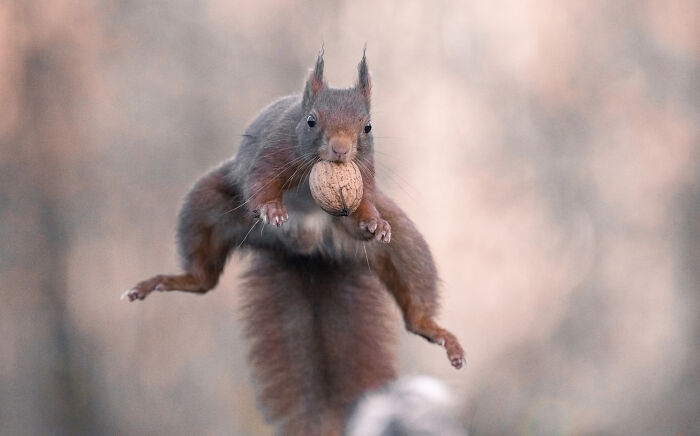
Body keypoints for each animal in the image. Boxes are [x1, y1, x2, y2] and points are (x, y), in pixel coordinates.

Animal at [123, 48, 465, 436]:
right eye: (311, 122)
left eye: (368, 127)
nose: (340, 150)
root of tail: (307, 251)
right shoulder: (272, 152)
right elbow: (260, 185)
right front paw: (272, 208)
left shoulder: (365, 177)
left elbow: (362, 206)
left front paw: (374, 224)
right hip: (207, 207)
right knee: (202, 279)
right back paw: (167, 281)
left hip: (405, 246)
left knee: (412, 293)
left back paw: (435, 330)